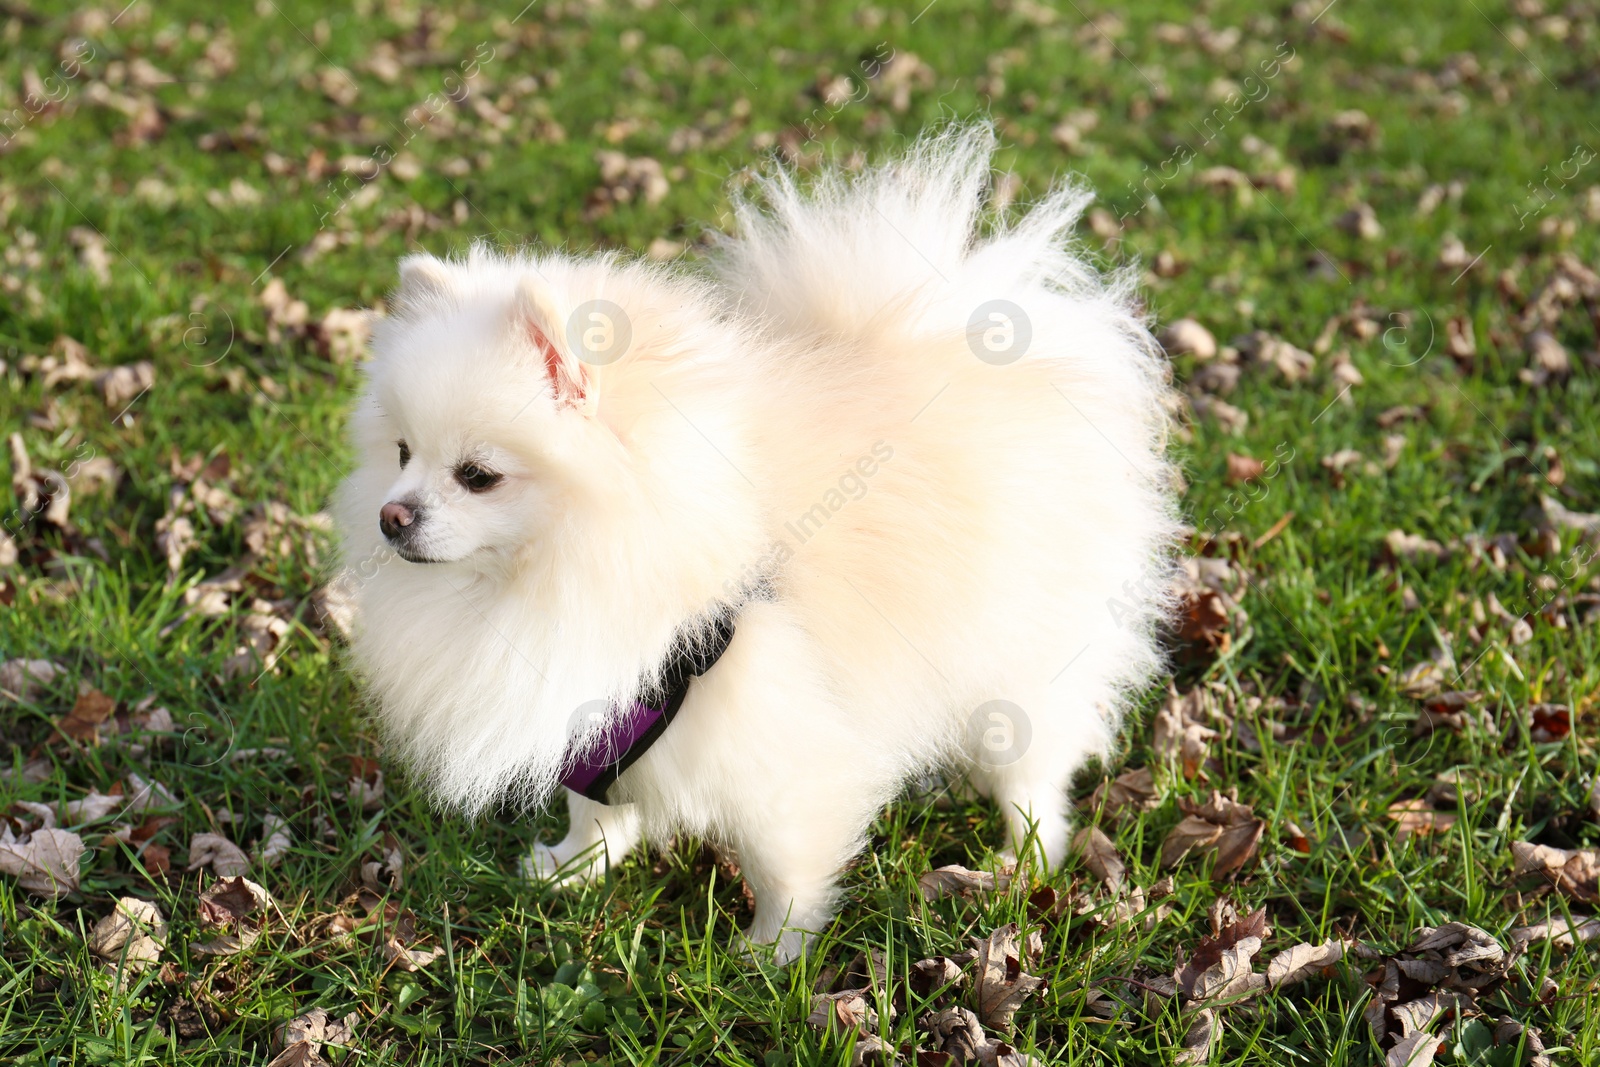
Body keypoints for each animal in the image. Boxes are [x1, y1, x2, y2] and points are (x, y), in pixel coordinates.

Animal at [331, 127, 1177, 966]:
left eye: (478, 475)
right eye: (403, 452)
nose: (392, 517)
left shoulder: (774, 733)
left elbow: (783, 860)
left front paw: (771, 954)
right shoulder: (593, 706)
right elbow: (593, 808)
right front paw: (570, 868)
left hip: (1019, 665)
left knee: (1035, 777)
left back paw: (1020, 861)